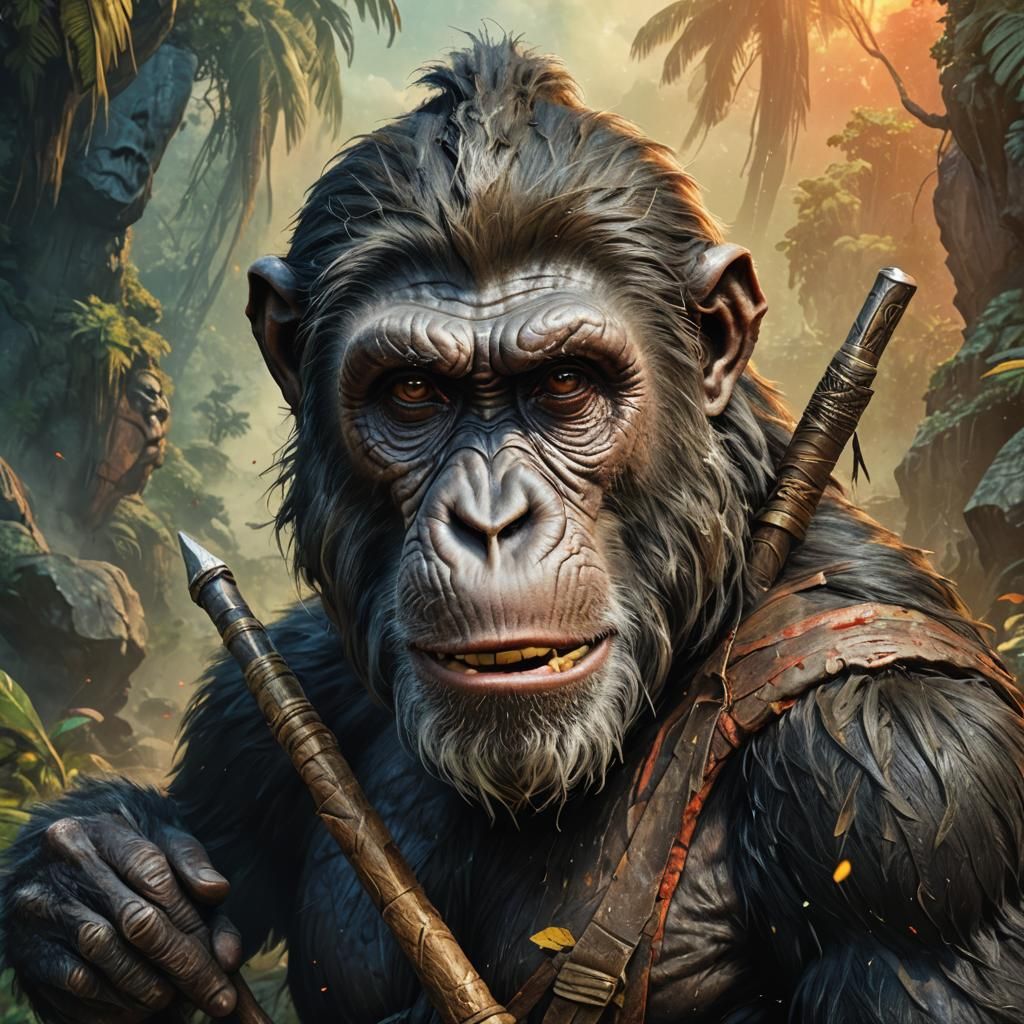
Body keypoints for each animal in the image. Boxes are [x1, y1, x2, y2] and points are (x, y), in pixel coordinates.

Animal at [3, 36, 1024, 1024]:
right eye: (413, 392)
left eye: (565, 384)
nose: (489, 521)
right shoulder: (271, 690)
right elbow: (206, 843)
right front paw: (99, 887)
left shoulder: (910, 793)